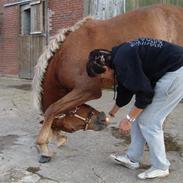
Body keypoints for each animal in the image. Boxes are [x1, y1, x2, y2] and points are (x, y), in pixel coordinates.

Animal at [32, 3, 183, 162]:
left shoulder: (87, 90)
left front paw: (43, 146)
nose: (101, 119)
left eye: (72, 129)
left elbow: (52, 109)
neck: (64, 56)